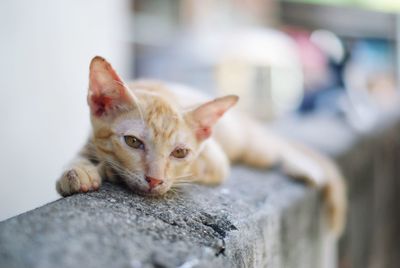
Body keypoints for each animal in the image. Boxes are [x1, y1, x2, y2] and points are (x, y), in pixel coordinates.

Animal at [56, 56, 346, 237]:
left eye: (180, 153)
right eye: (132, 141)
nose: (154, 180)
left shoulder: (215, 162)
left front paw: (108, 170)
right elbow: (83, 154)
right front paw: (78, 172)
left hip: (255, 147)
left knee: (281, 147)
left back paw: (304, 167)